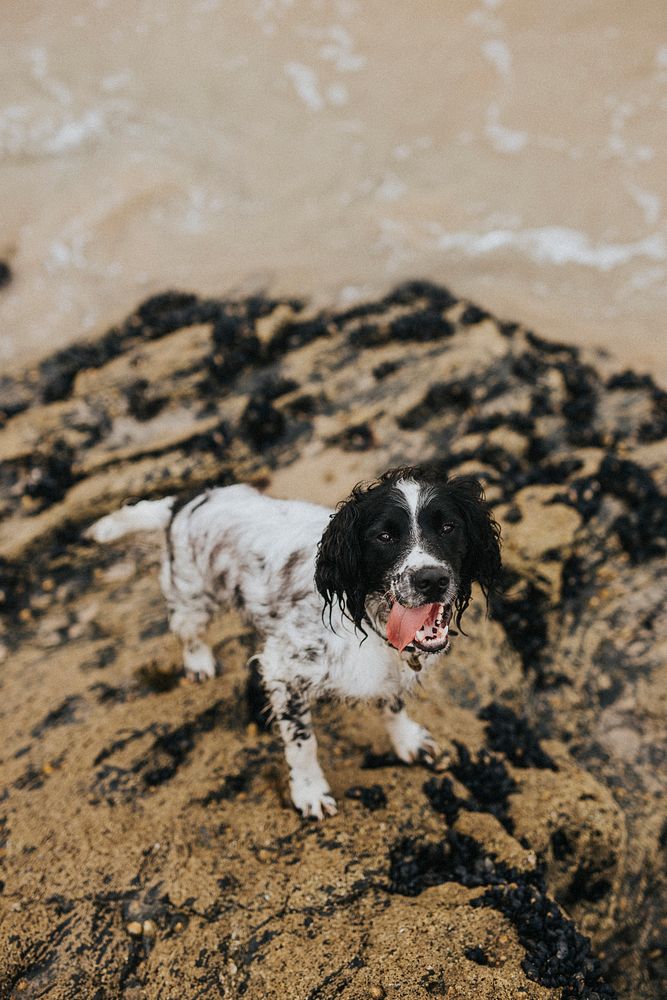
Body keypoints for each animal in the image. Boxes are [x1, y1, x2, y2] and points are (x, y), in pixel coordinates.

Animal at [86, 464, 500, 816]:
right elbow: (303, 743)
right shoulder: (285, 672)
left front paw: (408, 742)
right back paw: (199, 662)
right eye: (384, 536)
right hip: (192, 596)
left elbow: (393, 704)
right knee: (188, 633)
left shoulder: (392, 669)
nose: (431, 580)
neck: (369, 616)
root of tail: (186, 500)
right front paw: (310, 792)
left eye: (448, 527)